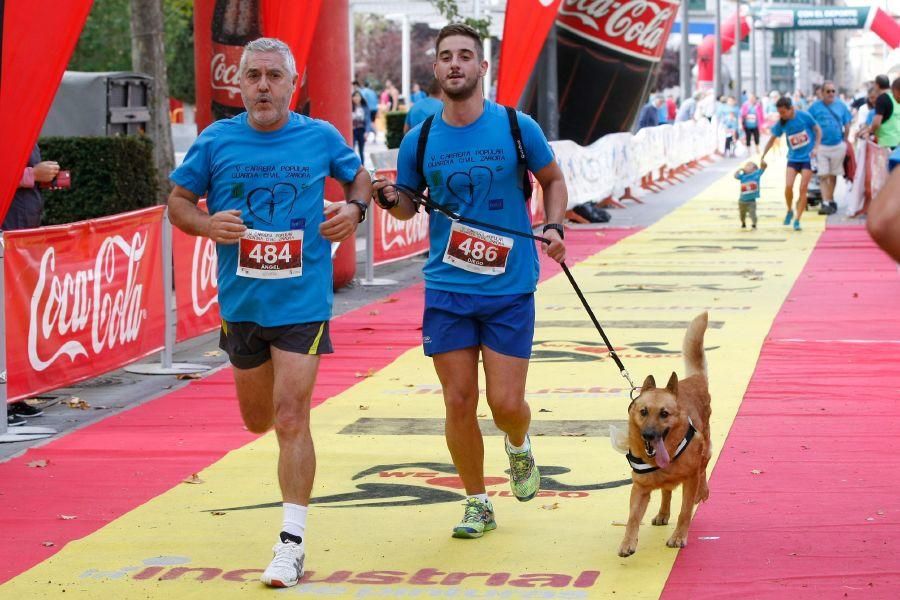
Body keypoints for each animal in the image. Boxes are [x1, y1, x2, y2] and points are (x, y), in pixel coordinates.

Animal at [620, 314, 712, 556]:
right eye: (643, 412)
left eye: (664, 413)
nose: (649, 435)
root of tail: (694, 379)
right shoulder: (640, 488)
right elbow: (632, 518)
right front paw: (628, 543)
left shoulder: (689, 480)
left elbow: (685, 512)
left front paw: (679, 537)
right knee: (666, 491)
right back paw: (662, 513)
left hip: (706, 448)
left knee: (704, 468)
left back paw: (703, 491)